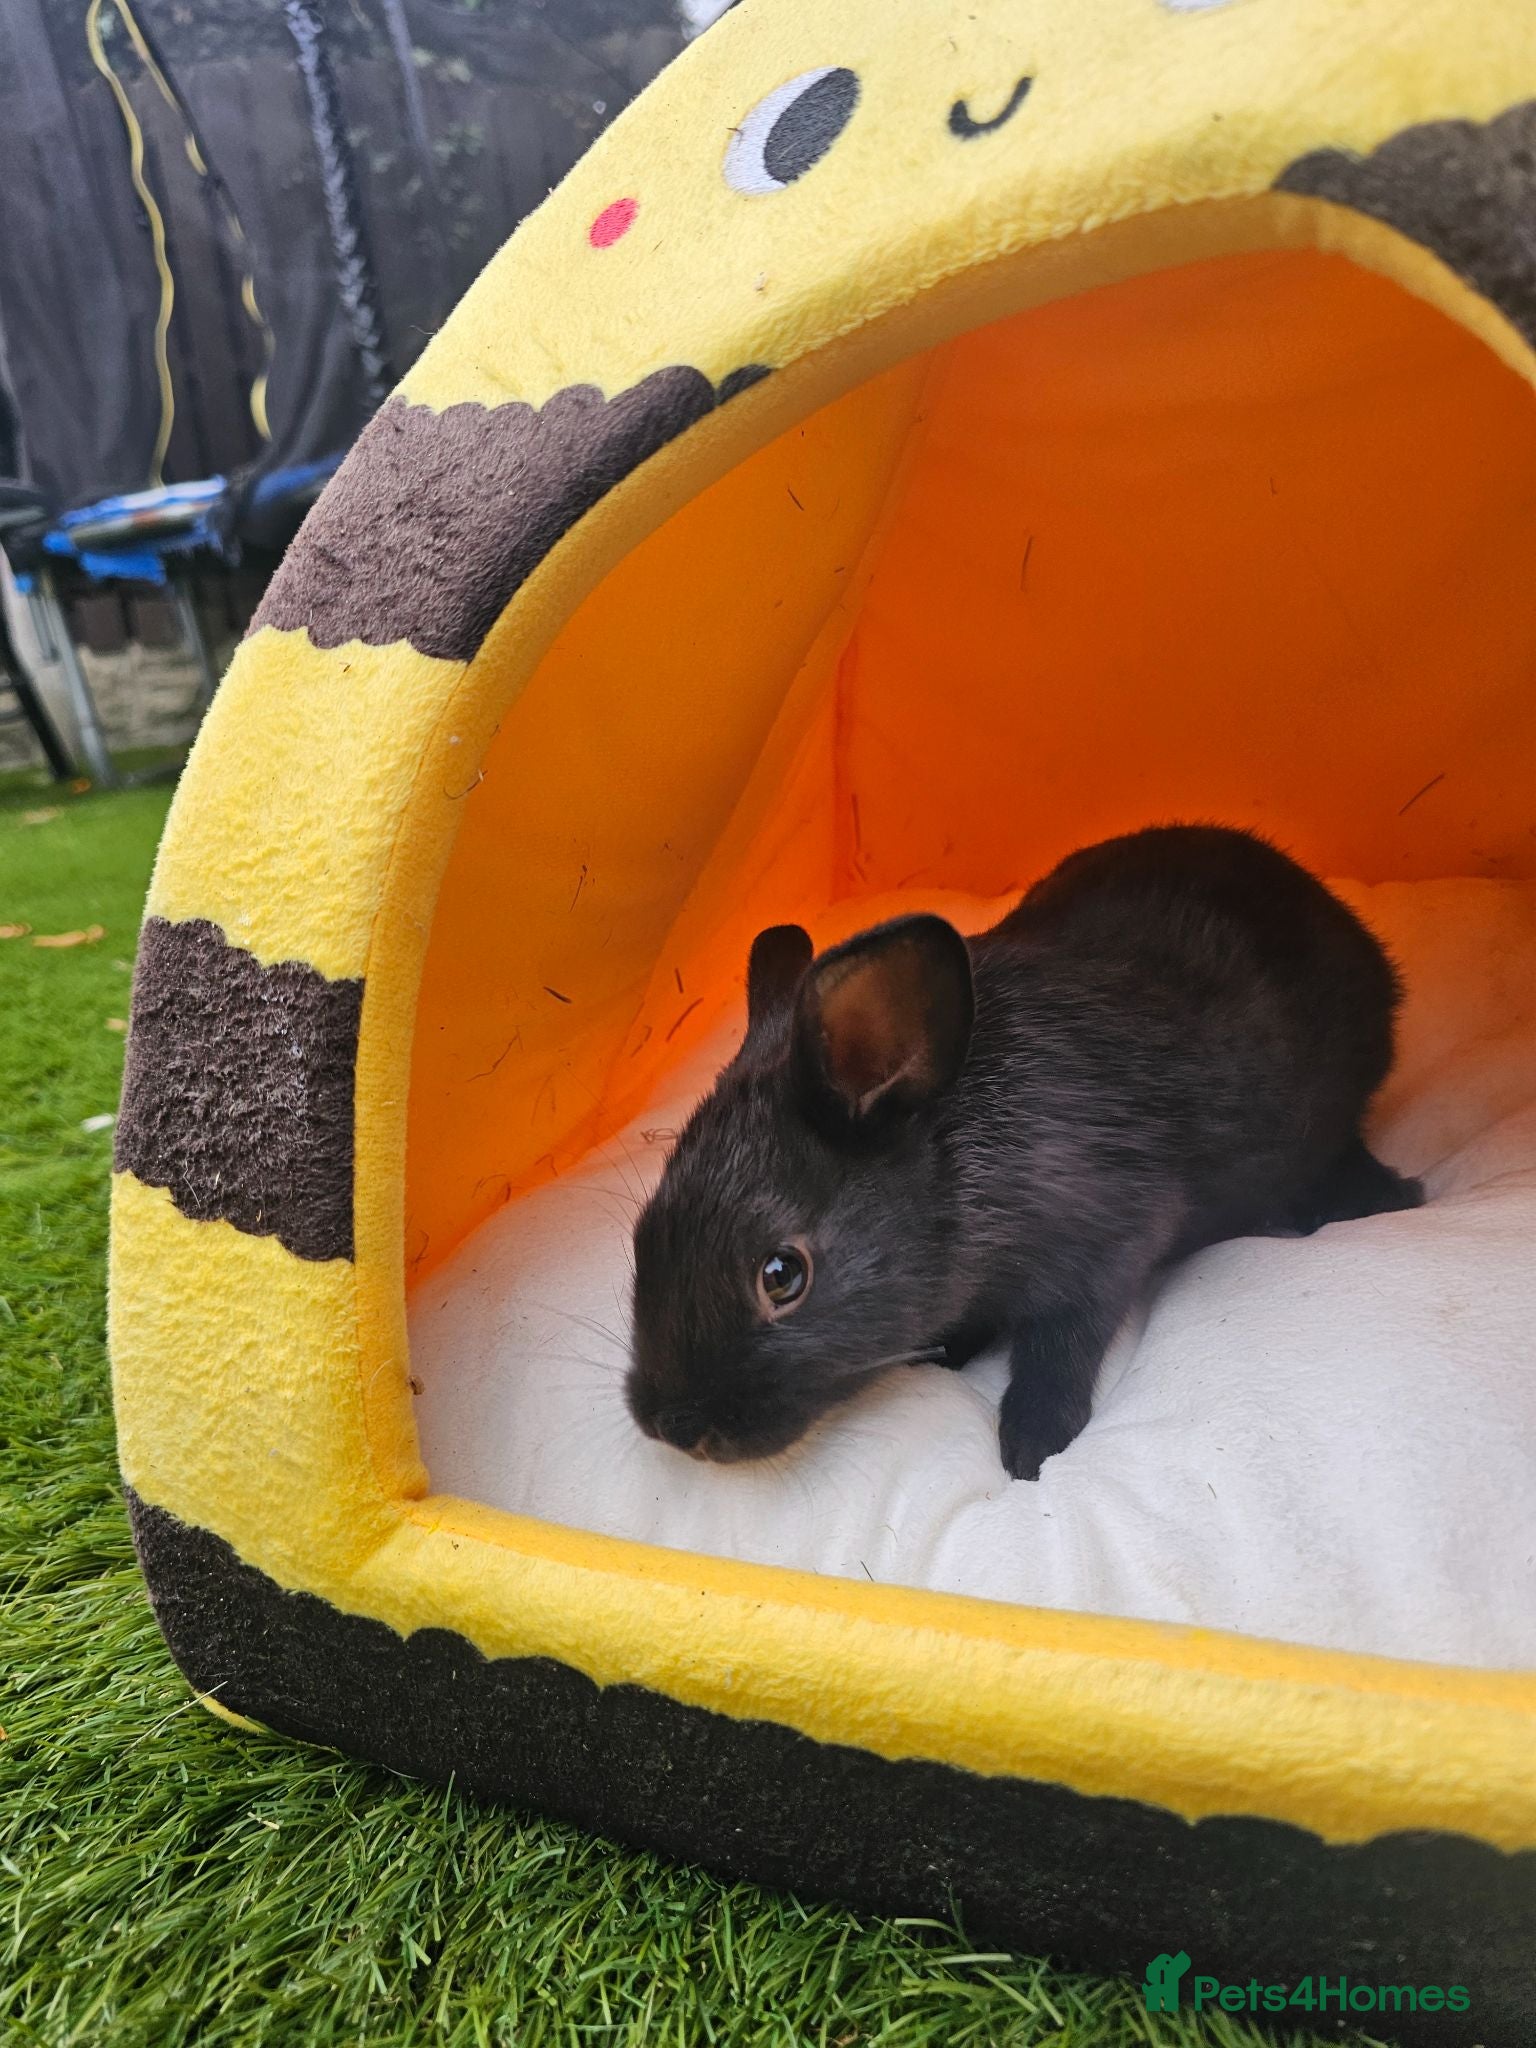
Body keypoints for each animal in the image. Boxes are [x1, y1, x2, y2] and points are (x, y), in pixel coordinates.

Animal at [625, 823, 1423, 1480]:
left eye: (782, 1275)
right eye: (642, 1233)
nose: (672, 1427)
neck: (967, 1173)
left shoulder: (1107, 1243)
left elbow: (1058, 1345)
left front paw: (1033, 1444)